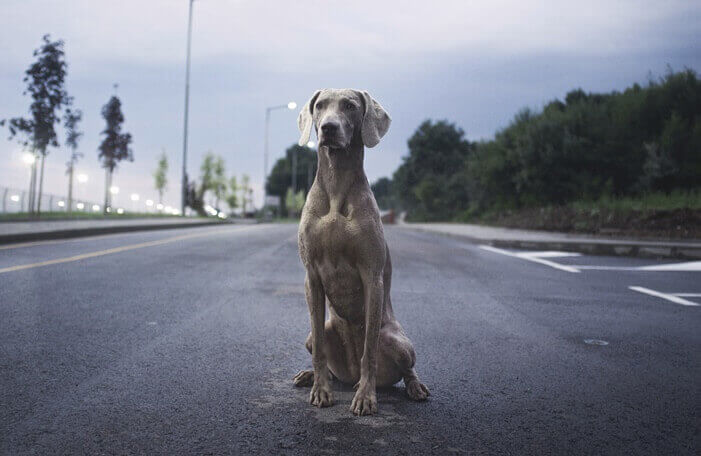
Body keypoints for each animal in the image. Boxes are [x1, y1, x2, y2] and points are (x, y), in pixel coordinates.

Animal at [292, 87, 430, 416]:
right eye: (320, 106)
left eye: (350, 106)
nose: (328, 128)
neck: (336, 186)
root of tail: (350, 374)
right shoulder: (311, 276)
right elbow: (319, 348)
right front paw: (320, 390)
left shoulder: (372, 275)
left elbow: (369, 349)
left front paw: (366, 397)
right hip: (318, 334)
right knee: (320, 347)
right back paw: (311, 376)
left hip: (397, 340)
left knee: (406, 367)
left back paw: (414, 387)